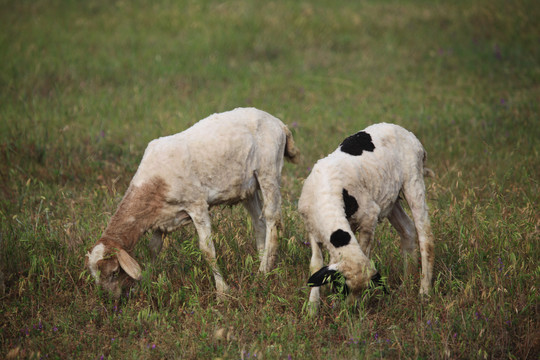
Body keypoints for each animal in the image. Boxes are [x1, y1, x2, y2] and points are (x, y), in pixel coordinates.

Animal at [86, 107, 302, 298]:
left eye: (114, 272)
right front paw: (147, 281)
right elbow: (153, 249)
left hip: (269, 171)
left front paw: (223, 292)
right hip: (248, 188)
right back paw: (261, 263)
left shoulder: (197, 205)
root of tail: (279, 124)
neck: (153, 183)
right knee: (259, 223)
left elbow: (207, 250)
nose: (110, 299)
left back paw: (263, 272)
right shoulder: (163, 218)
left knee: (273, 221)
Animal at [300, 121, 434, 312]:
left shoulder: (369, 218)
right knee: (407, 229)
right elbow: (316, 265)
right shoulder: (313, 229)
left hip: (413, 181)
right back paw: (407, 284)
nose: (349, 311)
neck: (326, 196)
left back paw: (424, 291)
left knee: (426, 237)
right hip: (390, 198)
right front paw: (312, 308)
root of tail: (408, 133)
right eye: (341, 287)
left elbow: (364, 252)